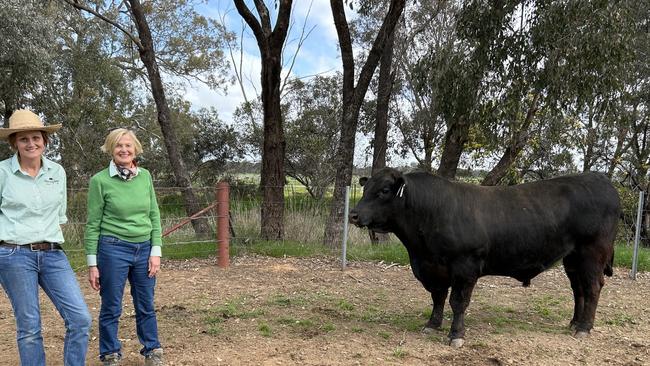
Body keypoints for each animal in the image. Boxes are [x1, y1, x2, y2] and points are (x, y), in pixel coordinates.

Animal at [350, 167, 616, 348]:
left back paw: (584, 328)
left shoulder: (465, 266)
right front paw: (432, 325)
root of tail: (601, 179)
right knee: (578, 289)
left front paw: (456, 335)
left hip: (592, 253)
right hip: (572, 259)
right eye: (365, 188)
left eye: (384, 190)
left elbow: (458, 302)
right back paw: (574, 323)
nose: (353, 214)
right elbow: (438, 297)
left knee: (592, 287)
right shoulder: (433, 268)